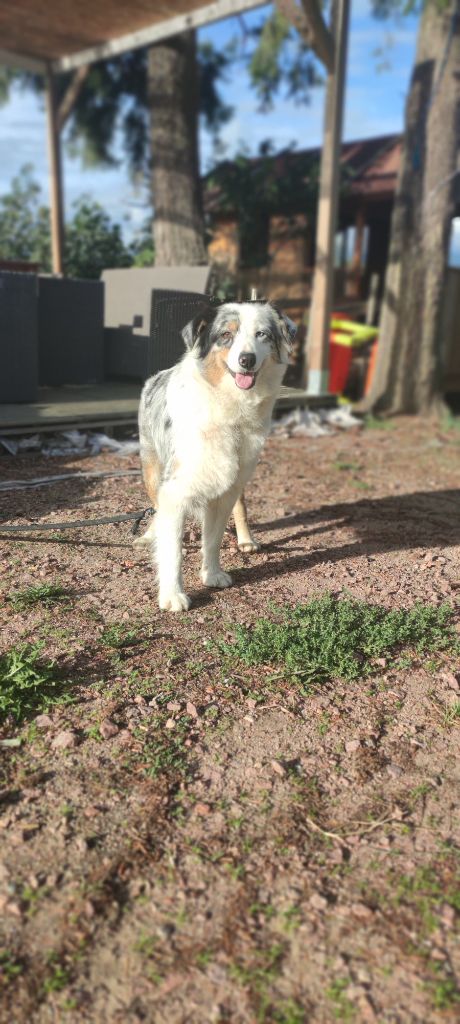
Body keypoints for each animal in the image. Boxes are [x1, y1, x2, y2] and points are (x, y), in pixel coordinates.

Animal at [134, 299, 295, 610]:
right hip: (152, 466)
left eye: (262, 335)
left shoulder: (225, 492)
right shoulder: (174, 490)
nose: (246, 360)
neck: (229, 408)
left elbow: (213, 538)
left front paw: (212, 574)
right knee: (155, 506)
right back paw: (150, 534)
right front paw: (172, 595)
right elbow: (173, 548)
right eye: (226, 335)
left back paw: (246, 540)